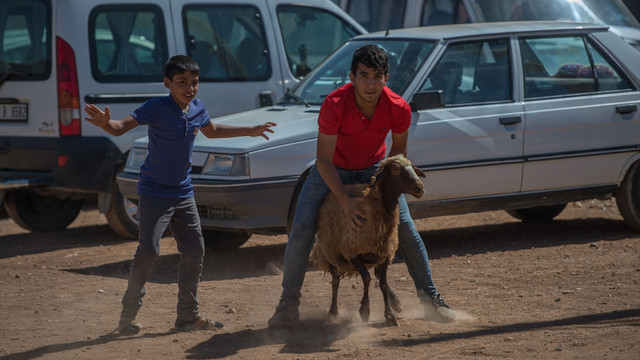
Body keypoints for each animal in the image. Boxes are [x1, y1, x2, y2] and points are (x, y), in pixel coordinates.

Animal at [310, 155, 424, 326]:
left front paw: (389, 314)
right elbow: (366, 278)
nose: (420, 188)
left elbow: (383, 283)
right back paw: (333, 312)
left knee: (376, 276)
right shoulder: (352, 253)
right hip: (331, 254)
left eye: (413, 167)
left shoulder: (386, 254)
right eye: (395, 169)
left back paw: (395, 302)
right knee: (335, 281)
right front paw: (364, 311)